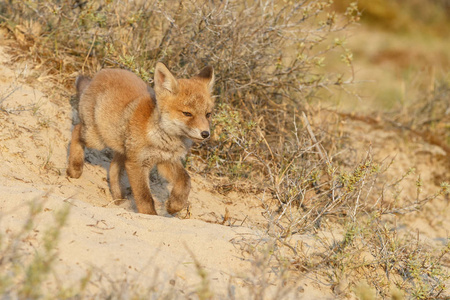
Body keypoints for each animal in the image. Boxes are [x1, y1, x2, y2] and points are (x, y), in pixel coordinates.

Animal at [67, 63, 214, 214]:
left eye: (208, 114)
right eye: (187, 114)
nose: (205, 133)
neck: (162, 140)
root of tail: (102, 72)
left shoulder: (166, 160)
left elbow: (185, 181)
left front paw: (174, 205)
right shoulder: (136, 163)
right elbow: (145, 198)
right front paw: (151, 215)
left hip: (122, 148)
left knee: (113, 168)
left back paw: (119, 199)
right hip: (97, 139)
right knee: (76, 130)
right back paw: (74, 168)